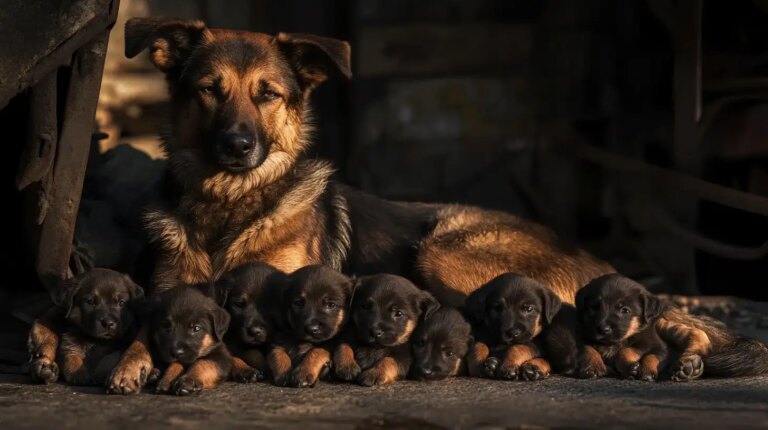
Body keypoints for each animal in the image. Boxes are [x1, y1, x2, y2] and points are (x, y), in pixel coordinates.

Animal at [30, 16, 768, 394]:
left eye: (269, 95)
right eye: (208, 90)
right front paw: (130, 362)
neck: (230, 206)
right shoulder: (169, 295)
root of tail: (584, 254)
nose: (238, 146)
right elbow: (145, 334)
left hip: (444, 246)